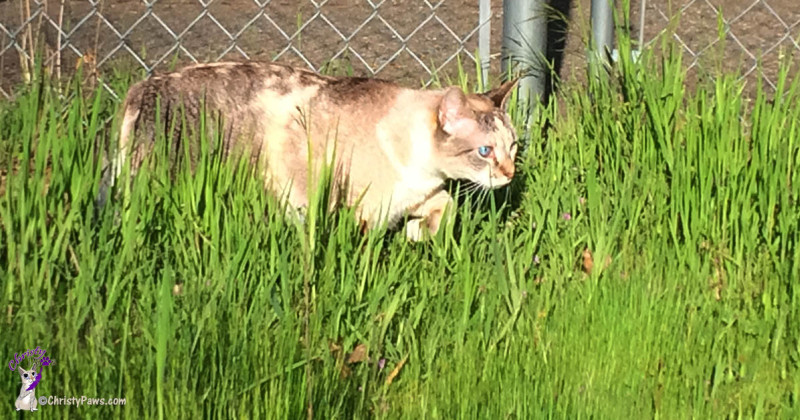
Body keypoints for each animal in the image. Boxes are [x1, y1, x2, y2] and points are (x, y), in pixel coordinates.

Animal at [109, 60, 520, 241]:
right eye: (485, 151)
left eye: (513, 146)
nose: (510, 174)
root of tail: (141, 87)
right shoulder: (362, 212)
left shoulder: (420, 195)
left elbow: (446, 209)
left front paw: (419, 233)